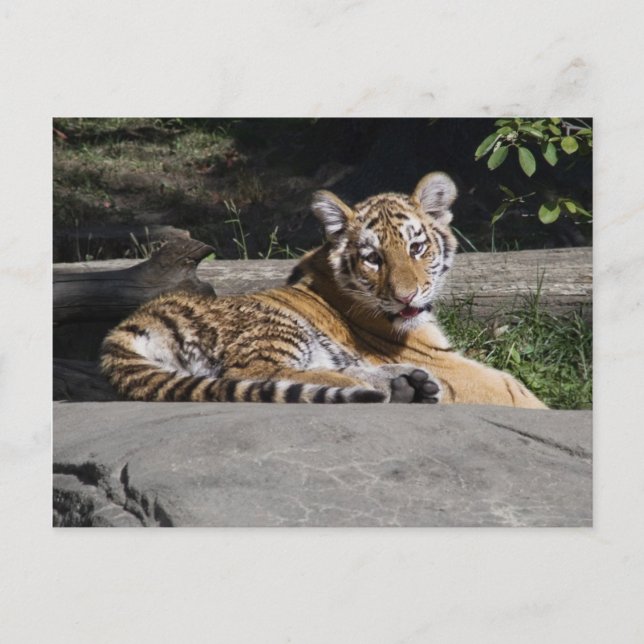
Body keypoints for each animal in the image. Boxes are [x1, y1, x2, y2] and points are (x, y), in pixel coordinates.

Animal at [100, 172, 547, 408]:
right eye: (373, 258)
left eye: (416, 248)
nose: (405, 298)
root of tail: (128, 325)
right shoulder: (448, 362)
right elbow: (514, 388)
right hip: (275, 329)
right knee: (257, 377)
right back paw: (392, 388)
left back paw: (408, 384)